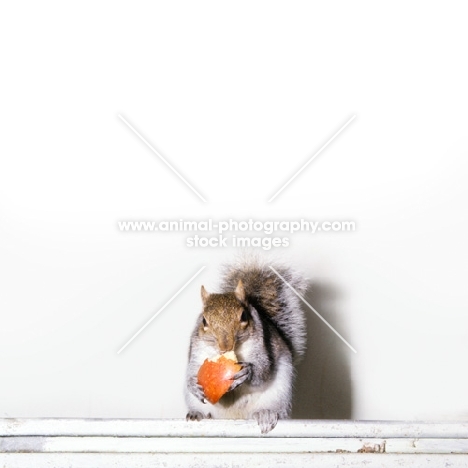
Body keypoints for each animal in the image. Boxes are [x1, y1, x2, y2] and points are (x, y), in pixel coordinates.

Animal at [186, 258, 308, 434]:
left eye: (244, 316)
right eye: (204, 321)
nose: (225, 346)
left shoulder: (262, 347)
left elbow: (263, 371)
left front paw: (247, 372)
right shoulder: (196, 350)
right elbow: (192, 368)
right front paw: (192, 384)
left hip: (280, 393)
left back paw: (265, 414)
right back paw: (198, 414)